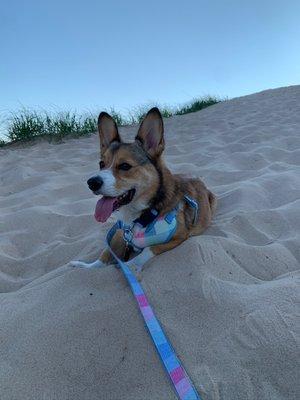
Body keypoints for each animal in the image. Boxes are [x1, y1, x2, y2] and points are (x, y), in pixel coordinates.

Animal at [72, 108, 218, 272]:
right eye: (101, 164)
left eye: (125, 166)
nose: (91, 183)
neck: (142, 216)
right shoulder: (120, 234)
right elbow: (105, 254)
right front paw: (85, 266)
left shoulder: (179, 237)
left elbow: (148, 249)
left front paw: (129, 266)